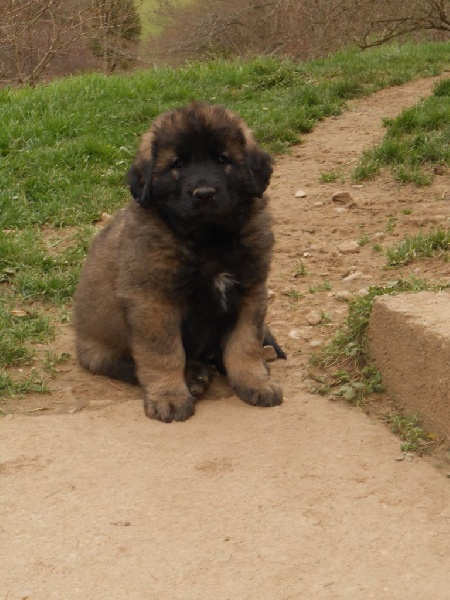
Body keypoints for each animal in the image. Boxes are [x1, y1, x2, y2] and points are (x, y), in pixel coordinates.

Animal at [73, 102, 285, 422]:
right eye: (178, 164)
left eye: (222, 159)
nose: (204, 194)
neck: (208, 238)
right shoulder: (154, 301)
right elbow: (163, 354)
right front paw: (169, 397)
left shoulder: (250, 290)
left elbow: (245, 344)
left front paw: (256, 382)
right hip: (100, 347)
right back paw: (194, 374)